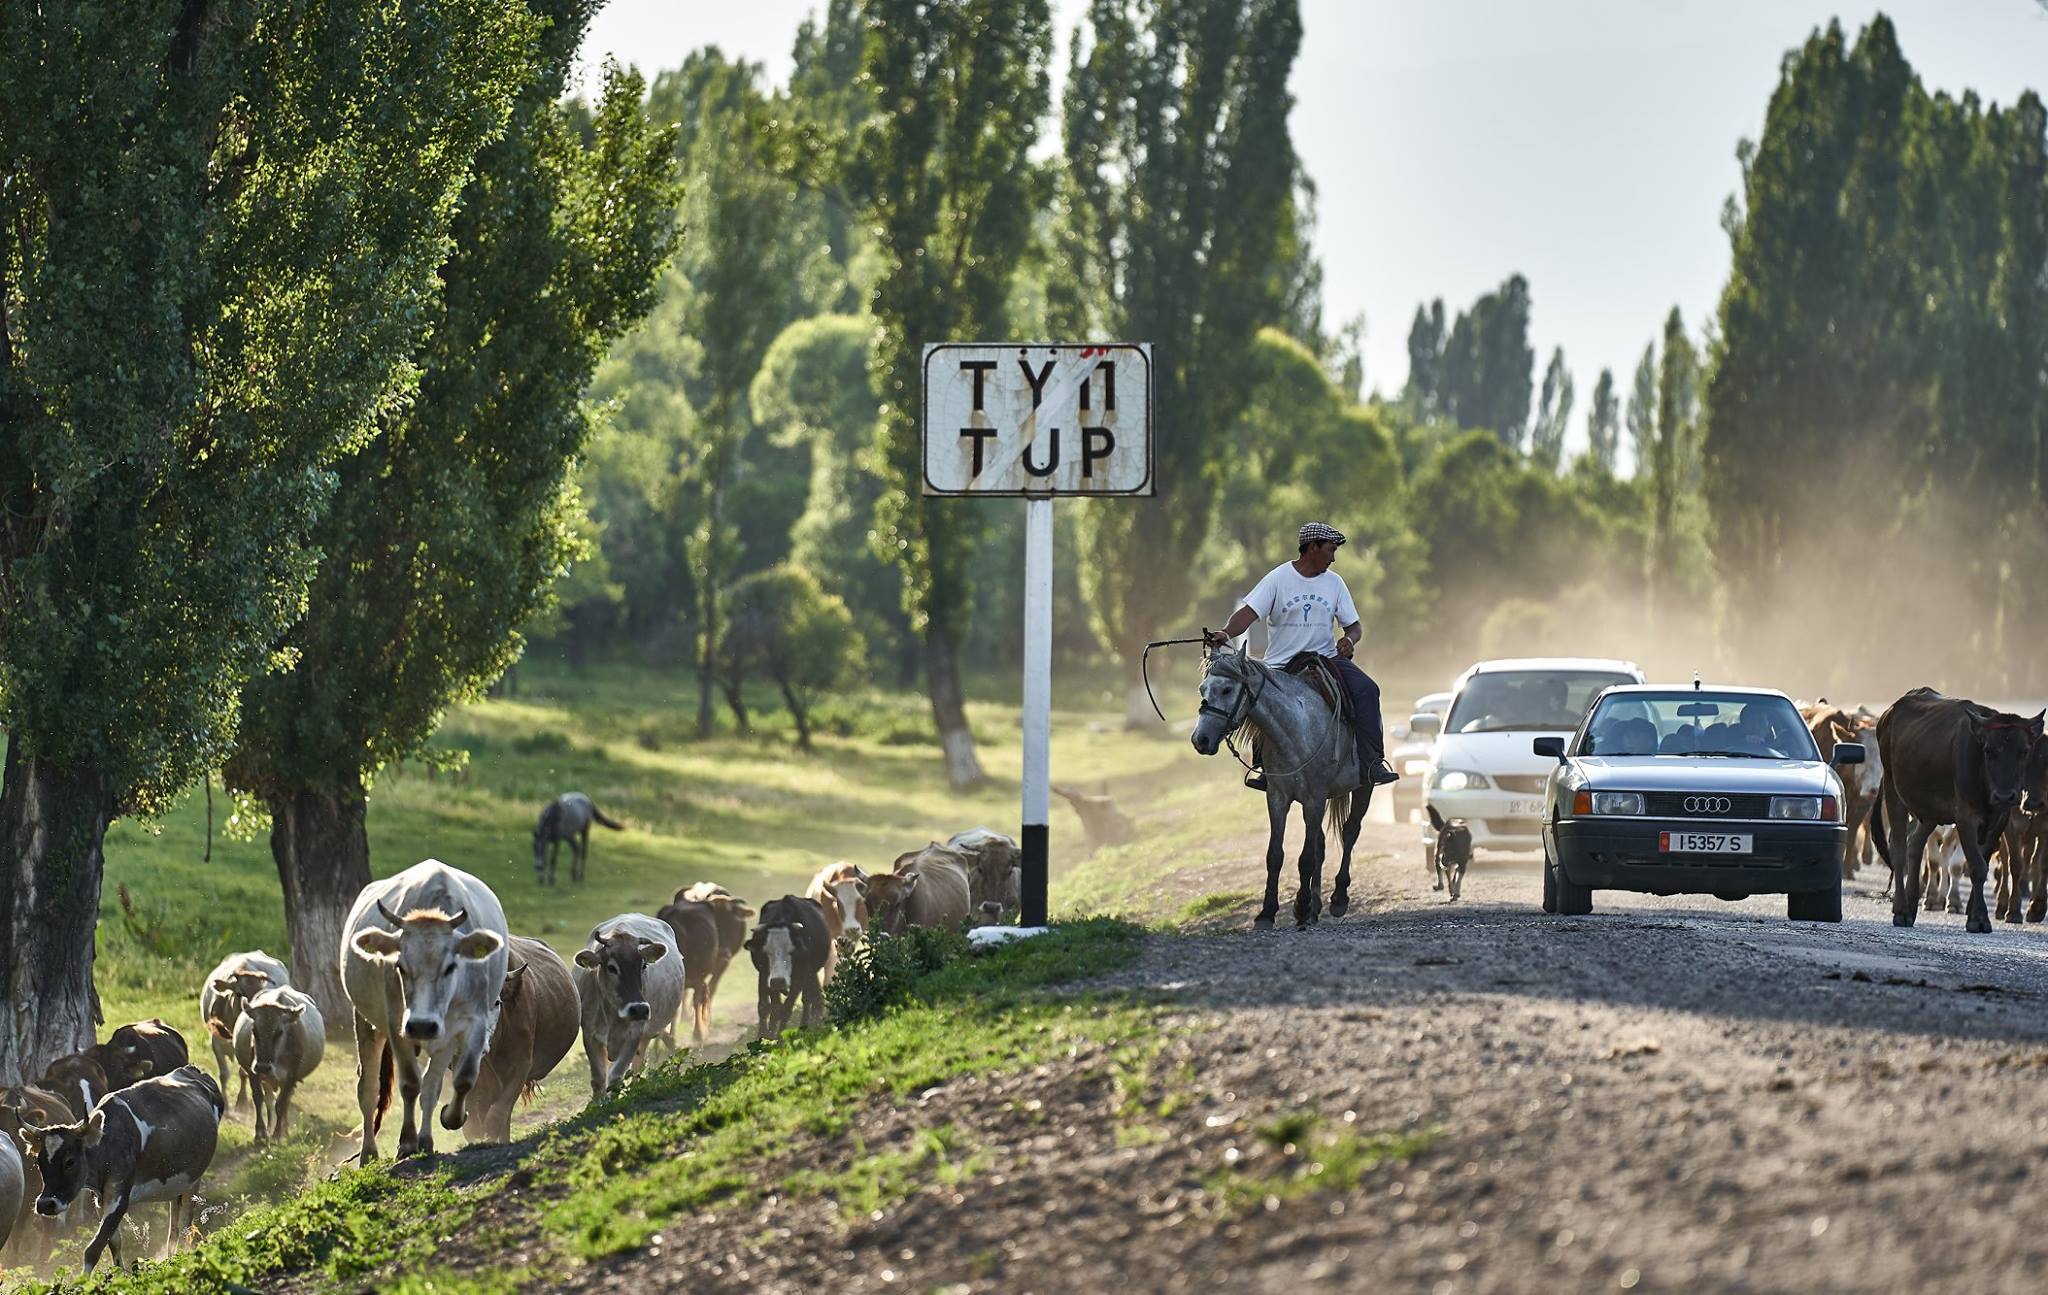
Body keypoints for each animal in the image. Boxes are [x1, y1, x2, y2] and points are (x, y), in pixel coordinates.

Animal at [14, 1065, 224, 1270]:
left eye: (70, 1161)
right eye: (38, 1163)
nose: (45, 1204)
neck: (108, 1141)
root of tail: (192, 1070)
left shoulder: (120, 1197)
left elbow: (93, 1248)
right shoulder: (101, 1199)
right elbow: (114, 1241)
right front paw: (119, 1273)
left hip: (194, 1179)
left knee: (187, 1223)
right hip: (177, 1182)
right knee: (175, 1223)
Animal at [337, 860, 505, 1163]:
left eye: (450, 966)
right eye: (400, 966)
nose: (422, 1026)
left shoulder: (470, 1023)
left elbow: (458, 1080)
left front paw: (447, 1120)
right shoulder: (397, 1025)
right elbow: (410, 1084)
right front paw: (406, 1143)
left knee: (429, 1086)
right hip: (366, 1023)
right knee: (368, 1089)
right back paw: (368, 1151)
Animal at [1196, 647, 1368, 930]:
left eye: (1227, 689)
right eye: (1203, 689)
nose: (1200, 739)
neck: (1296, 730)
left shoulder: (1314, 798)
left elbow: (1306, 858)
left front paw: (1301, 906)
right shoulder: (1278, 797)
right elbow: (1275, 855)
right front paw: (1268, 912)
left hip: (1364, 787)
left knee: (1350, 832)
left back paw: (1338, 898)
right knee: (1321, 844)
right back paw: (1315, 907)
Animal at [1875, 688, 2048, 930]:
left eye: (2023, 751)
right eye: (1988, 750)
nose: (2005, 796)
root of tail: (1889, 713)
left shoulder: (1999, 820)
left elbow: (1983, 863)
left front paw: (1973, 914)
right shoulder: (1966, 818)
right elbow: (1976, 866)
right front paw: (1979, 918)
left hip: (1930, 812)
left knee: (1915, 844)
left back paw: (1911, 906)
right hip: (1894, 791)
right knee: (1899, 849)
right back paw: (1901, 911)